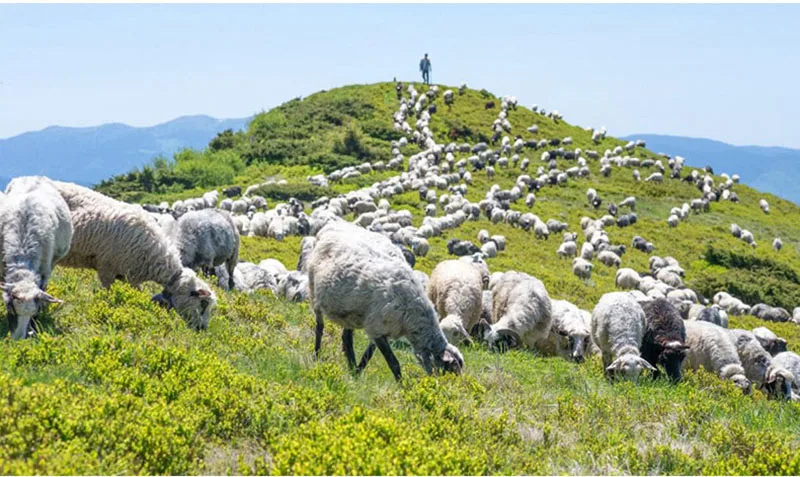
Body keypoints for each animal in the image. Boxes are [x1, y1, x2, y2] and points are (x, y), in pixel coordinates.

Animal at [52, 180, 217, 330]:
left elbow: (138, 293)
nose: (202, 328)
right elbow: (108, 292)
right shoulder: (107, 268)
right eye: (203, 304)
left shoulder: (128, 276)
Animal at [310, 221, 466, 382]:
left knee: (346, 338)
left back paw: (351, 366)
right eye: (450, 370)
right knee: (319, 327)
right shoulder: (377, 327)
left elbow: (368, 355)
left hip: (350, 311)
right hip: (314, 291)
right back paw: (316, 354)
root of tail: (331, 225)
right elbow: (393, 362)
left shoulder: (377, 327)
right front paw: (402, 385)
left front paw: (357, 374)